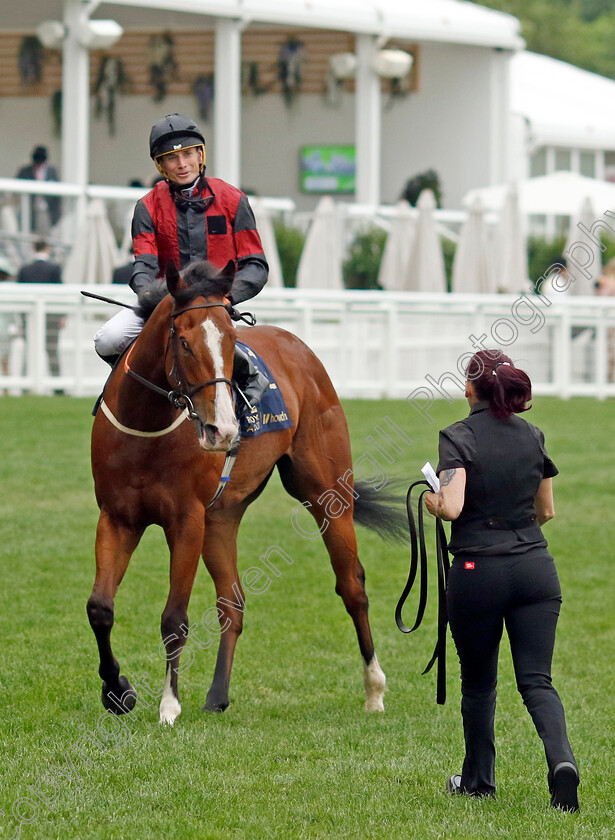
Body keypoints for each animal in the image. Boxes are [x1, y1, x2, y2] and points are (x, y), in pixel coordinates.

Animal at [88, 260, 404, 720]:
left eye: (232, 341)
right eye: (184, 342)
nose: (222, 429)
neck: (146, 428)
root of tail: (298, 346)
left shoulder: (186, 520)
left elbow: (174, 618)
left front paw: (169, 706)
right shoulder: (118, 517)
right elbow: (100, 608)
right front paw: (118, 690)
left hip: (326, 494)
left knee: (352, 586)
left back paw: (375, 689)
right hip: (222, 517)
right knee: (231, 603)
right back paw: (217, 695)